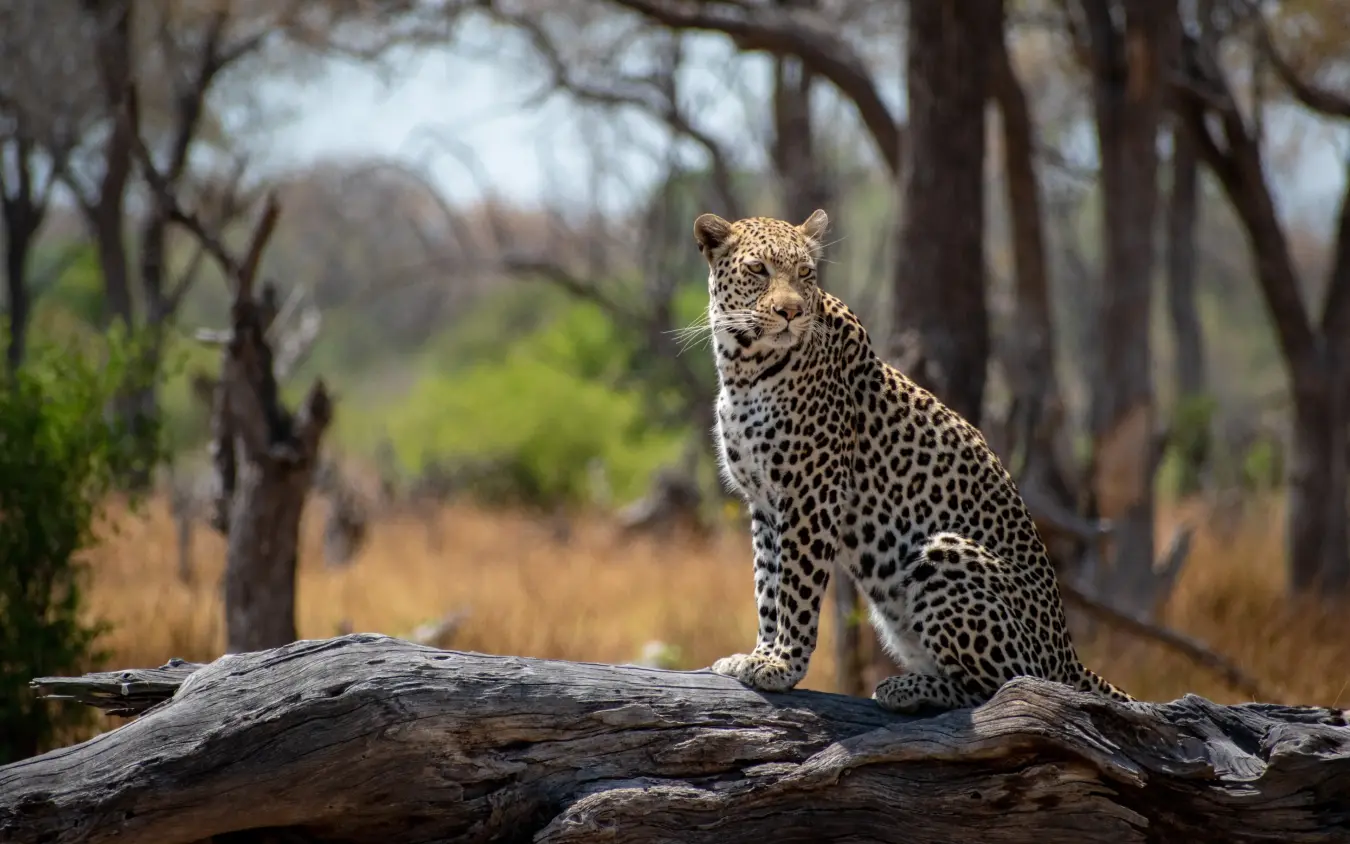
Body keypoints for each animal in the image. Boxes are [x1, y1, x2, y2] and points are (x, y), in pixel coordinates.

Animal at [693, 208, 1133, 714]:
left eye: (805, 274)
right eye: (758, 270)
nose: (791, 312)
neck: (743, 368)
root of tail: (1070, 657)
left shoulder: (811, 493)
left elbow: (795, 590)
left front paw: (783, 666)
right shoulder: (764, 502)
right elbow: (767, 586)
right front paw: (758, 654)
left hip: (944, 553)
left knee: (1006, 687)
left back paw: (906, 689)